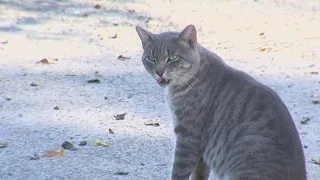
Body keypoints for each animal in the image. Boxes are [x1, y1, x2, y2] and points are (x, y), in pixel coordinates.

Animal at [134, 24, 304, 180]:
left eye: (172, 58)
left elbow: (178, 172)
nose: (159, 72)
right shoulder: (202, 151)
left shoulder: (188, 137)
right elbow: (199, 174)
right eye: (151, 58)